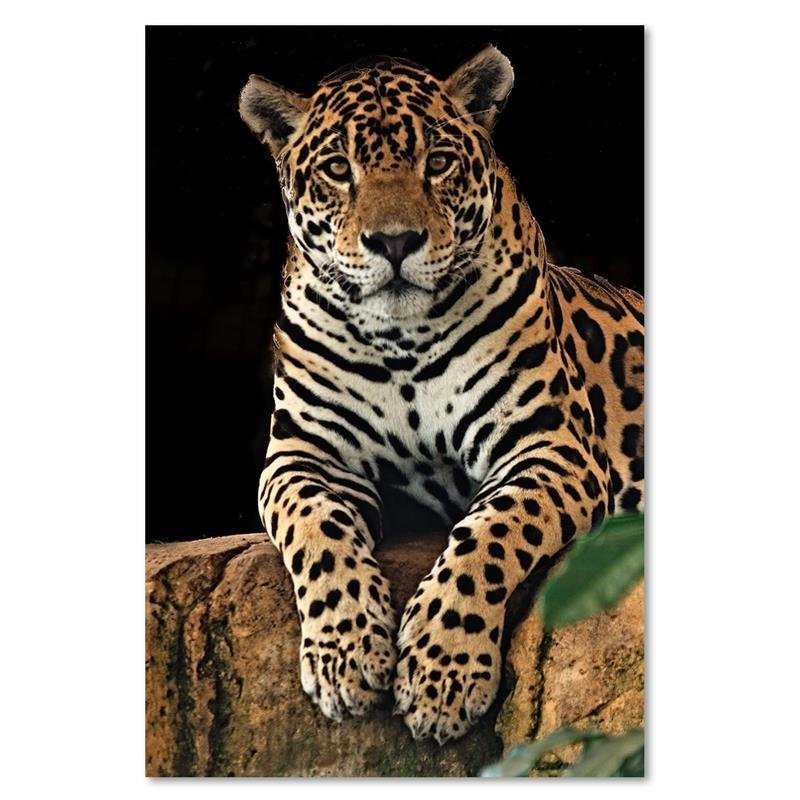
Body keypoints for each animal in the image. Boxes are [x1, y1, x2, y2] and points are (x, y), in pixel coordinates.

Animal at [238, 45, 644, 745]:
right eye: (339, 169)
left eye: (437, 163)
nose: (395, 242)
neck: (400, 338)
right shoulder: (303, 454)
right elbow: (316, 528)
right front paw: (346, 656)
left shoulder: (550, 447)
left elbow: (491, 534)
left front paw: (442, 671)